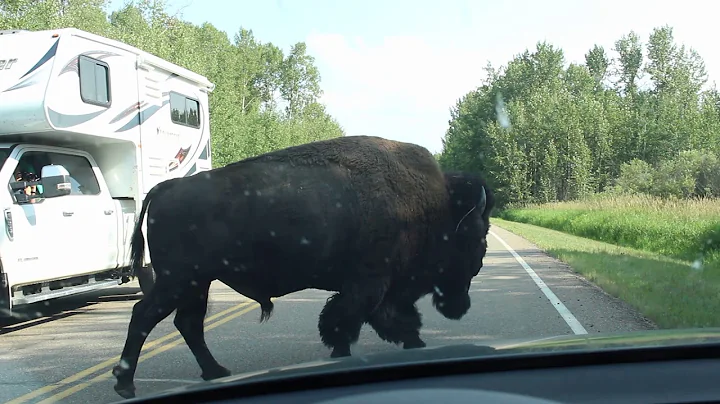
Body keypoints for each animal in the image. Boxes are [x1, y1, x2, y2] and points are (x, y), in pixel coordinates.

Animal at [112, 135, 494, 398]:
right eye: (476, 235)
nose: (461, 305)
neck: (432, 207)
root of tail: (166, 187)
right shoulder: (370, 284)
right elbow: (347, 321)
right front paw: (348, 352)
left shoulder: (372, 288)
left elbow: (377, 320)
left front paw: (414, 343)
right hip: (177, 280)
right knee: (144, 315)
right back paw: (126, 384)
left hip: (197, 283)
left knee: (187, 323)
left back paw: (216, 371)